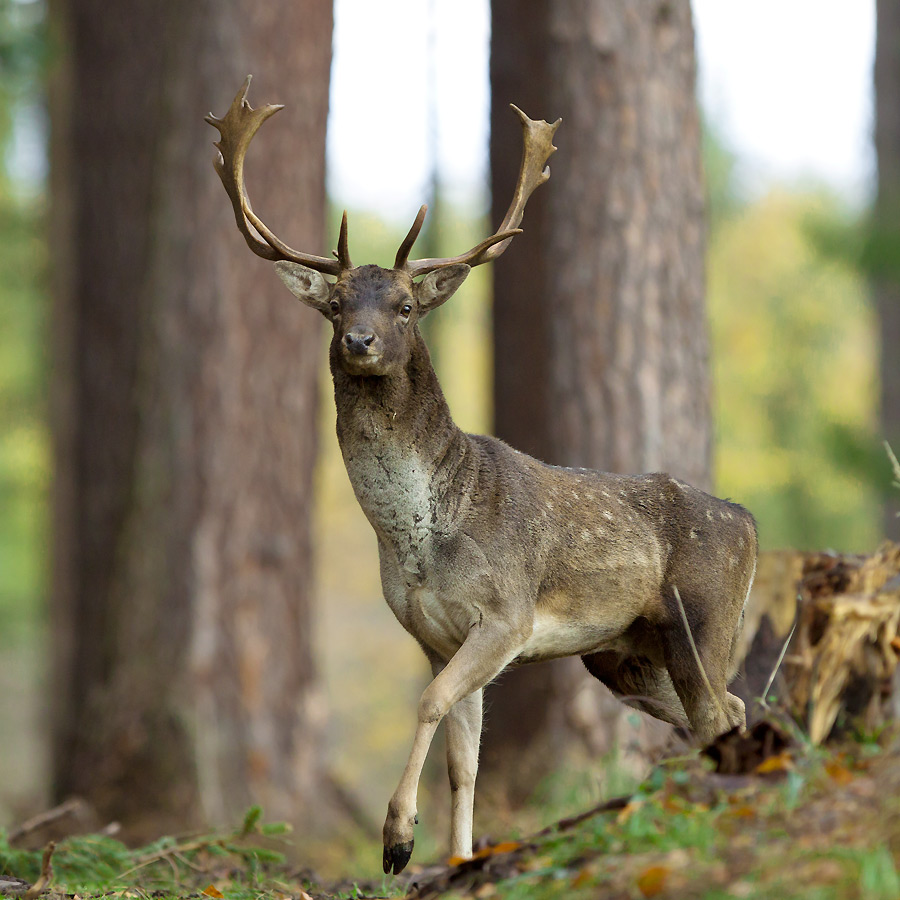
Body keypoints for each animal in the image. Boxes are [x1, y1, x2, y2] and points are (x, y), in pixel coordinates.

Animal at [206, 77, 758, 876]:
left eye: (405, 305)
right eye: (336, 304)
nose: (359, 340)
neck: (420, 538)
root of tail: (750, 522)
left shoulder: (507, 615)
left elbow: (429, 703)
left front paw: (398, 840)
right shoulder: (433, 633)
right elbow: (464, 760)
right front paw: (458, 856)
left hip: (704, 616)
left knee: (717, 711)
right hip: (626, 656)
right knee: (725, 712)